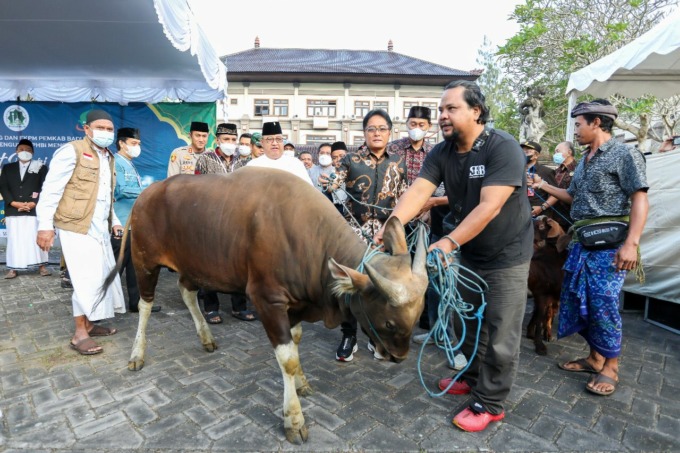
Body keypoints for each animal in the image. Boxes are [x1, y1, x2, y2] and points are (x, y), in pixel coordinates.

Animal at [105, 168, 424, 444]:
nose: (400, 357)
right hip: (144, 261)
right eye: (389, 321)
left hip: (193, 265)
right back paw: (137, 353)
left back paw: (206, 337)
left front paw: (301, 383)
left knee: (186, 291)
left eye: (418, 315)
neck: (306, 239)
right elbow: (288, 358)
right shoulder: (267, 300)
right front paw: (293, 419)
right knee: (145, 306)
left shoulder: (295, 304)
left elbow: (296, 342)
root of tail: (147, 194)